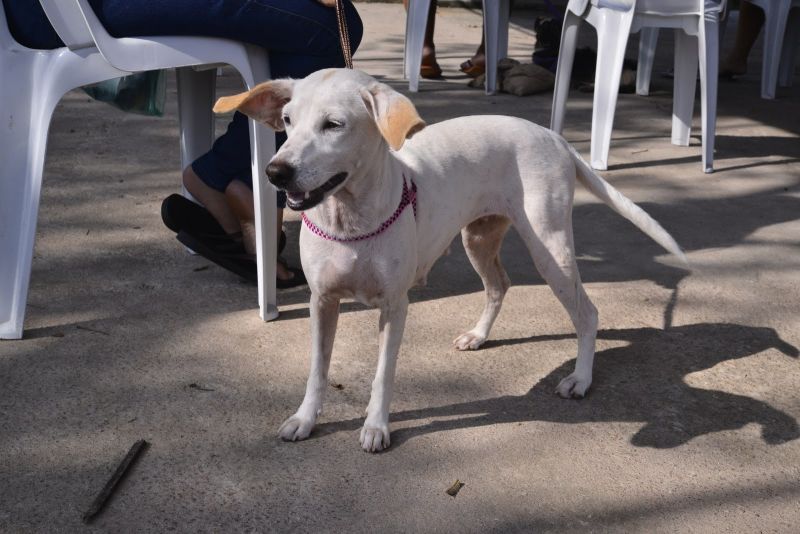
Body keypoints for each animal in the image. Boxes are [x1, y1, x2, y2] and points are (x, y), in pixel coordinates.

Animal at [216, 67, 684, 452]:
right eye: (288, 121)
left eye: (334, 125)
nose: (275, 173)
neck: (350, 223)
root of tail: (554, 137)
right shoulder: (323, 302)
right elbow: (317, 370)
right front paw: (305, 419)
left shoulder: (395, 307)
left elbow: (383, 373)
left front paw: (376, 427)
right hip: (477, 238)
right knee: (499, 285)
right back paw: (478, 335)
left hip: (550, 250)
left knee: (586, 313)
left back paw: (581, 379)